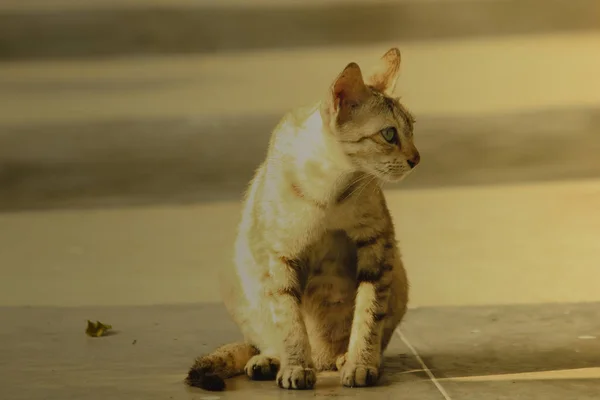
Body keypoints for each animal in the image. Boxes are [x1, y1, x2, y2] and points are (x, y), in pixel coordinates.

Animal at [186, 48, 418, 392]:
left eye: (412, 129)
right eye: (389, 134)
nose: (417, 158)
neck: (330, 192)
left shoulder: (377, 244)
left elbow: (369, 312)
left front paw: (360, 363)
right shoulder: (279, 255)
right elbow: (289, 321)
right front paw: (296, 367)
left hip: (399, 273)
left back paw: (341, 358)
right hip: (235, 275)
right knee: (262, 339)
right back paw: (270, 361)